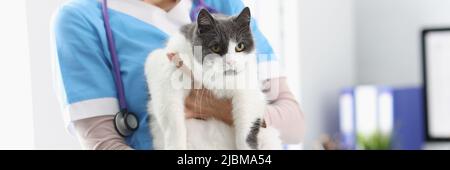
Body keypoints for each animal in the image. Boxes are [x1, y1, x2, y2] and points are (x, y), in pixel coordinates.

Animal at [144, 7, 282, 149]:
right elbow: (173, 122)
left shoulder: (249, 91)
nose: (230, 62)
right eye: (215, 47)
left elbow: (246, 129)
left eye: (240, 46)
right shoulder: (165, 64)